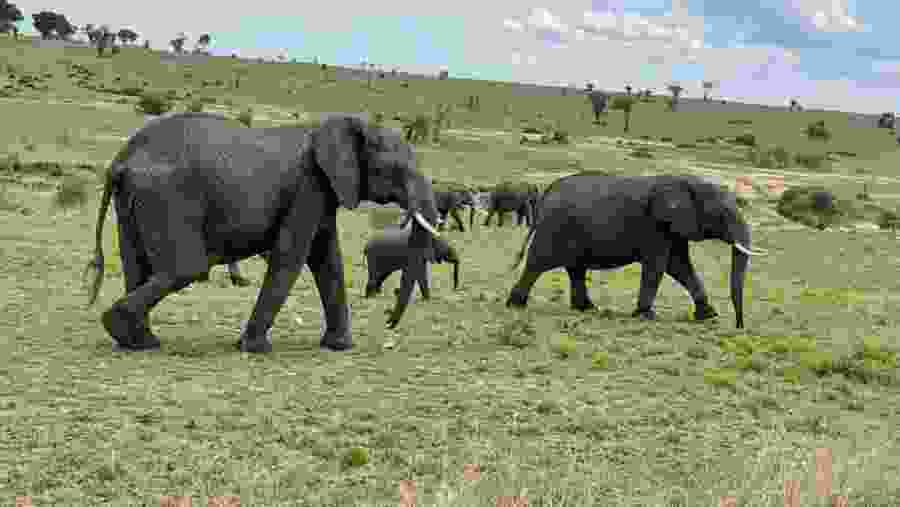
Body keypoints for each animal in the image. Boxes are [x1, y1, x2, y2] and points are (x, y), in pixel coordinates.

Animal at [82, 111, 442, 353]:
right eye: (397, 170)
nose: (389, 320)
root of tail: (121, 159)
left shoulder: (324, 190)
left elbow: (327, 259)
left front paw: (339, 346)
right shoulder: (309, 185)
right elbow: (292, 255)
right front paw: (254, 347)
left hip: (134, 201)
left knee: (136, 265)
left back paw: (139, 341)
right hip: (166, 196)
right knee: (185, 268)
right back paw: (122, 328)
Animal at [506, 173, 768, 328]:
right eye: (722, 214)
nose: (739, 326)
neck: (688, 182)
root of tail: (547, 192)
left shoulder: (674, 228)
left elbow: (680, 266)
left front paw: (708, 316)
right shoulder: (655, 226)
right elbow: (659, 266)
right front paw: (646, 316)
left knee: (575, 269)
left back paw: (587, 309)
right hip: (554, 228)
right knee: (538, 263)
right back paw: (515, 305)